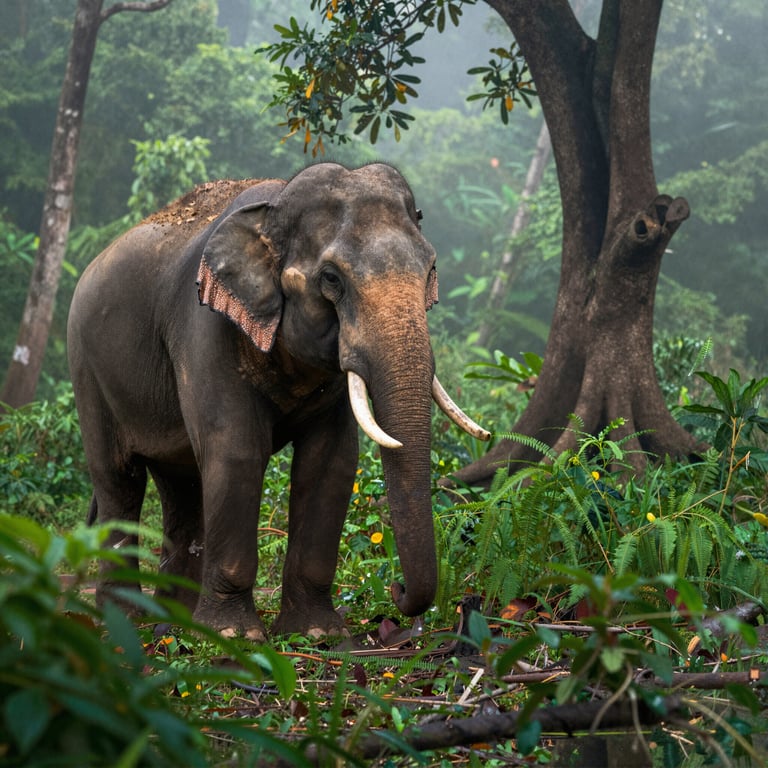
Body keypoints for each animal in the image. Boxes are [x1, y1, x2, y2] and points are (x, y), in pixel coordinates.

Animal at [67, 162, 489, 641]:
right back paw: (130, 620)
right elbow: (237, 453)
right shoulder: (205, 328)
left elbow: (331, 462)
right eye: (331, 279)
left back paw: (173, 625)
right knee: (120, 481)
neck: (273, 209)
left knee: (182, 486)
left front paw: (319, 635)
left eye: (430, 266)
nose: (397, 592)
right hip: (87, 369)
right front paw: (235, 636)